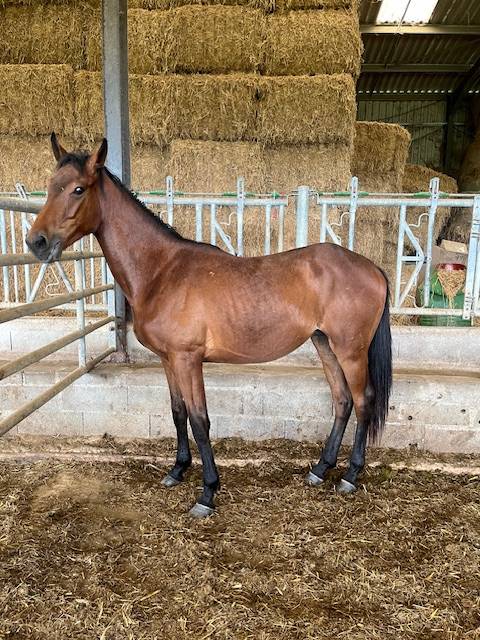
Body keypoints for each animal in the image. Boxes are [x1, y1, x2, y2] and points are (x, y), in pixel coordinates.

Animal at [27, 134, 392, 518]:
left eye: (78, 189)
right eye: (50, 186)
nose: (36, 242)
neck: (161, 271)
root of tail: (372, 267)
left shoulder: (188, 359)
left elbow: (200, 420)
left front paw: (207, 492)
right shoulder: (169, 359)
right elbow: (178, 413)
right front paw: (177, 470)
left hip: (351, 350)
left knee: (362, 400)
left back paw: (350, 476)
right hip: (324, 343)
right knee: (342, 401)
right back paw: (320, 469)